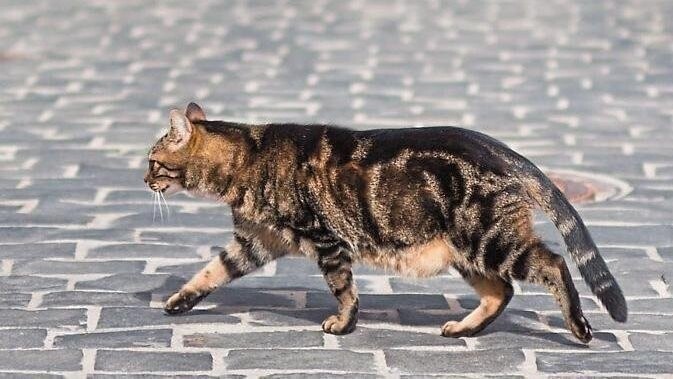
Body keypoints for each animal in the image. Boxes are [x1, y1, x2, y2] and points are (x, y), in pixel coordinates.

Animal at [144, 102, 628, 342]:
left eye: (152, 160)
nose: (143, 178)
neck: (246, 162)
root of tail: (502, 148)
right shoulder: (254, 242)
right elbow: (211, 271)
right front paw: (179, 301)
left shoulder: (326, 239)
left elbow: (343, 289)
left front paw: (344, 325)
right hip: (466, 253)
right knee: (501, 292)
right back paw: (462, 329)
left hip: (490, 241)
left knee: (553, 264)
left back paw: (579, 327)